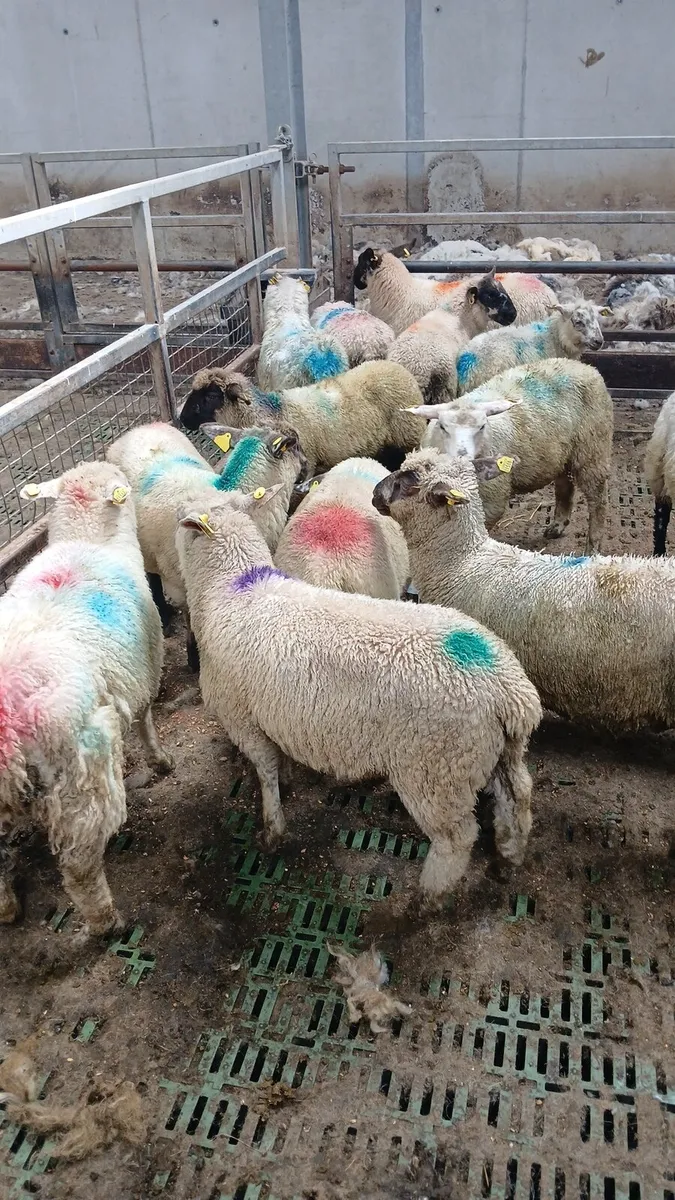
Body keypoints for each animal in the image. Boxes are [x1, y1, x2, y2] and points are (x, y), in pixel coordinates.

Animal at [1, 462, 172, 935]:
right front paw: (161, 760)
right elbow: (147, 720)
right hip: (81, 776)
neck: (89, 540)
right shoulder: (145, 665)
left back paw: (6, 908)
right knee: (79, 866)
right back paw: (106, 921)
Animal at [107, 420, 305, 669]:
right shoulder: (184, 583)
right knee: (152, 576)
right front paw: (194, 658)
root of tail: (142, 427)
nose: (307, 466)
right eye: (295, 445)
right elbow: (191, 618)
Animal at [175, 489, 541, 907]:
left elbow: (265, 771)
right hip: (497, 752)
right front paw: (287, 785)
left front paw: (272, 828)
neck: (234, 588)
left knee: (456, 838)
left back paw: (428, 897)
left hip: (435, 769)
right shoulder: (270, 716)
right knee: (518, 797)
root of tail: (509, 690)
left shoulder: (242, 719)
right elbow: (278, 761)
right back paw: (508, 857)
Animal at [179, 362, 427, 476]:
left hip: (407, 439)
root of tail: (401, 370)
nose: (182, 419)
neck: (276, 411)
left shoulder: (306, 464)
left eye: (211, 396)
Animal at [410, 358, 613, 552]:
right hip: (563, 454)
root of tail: (585, 367)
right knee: (564, 485)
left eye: (482, 426)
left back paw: (592, 547)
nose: (463, 460)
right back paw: (557, 526)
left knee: (598, 500)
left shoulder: (493, 498)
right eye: (442, 426)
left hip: (593, 449)